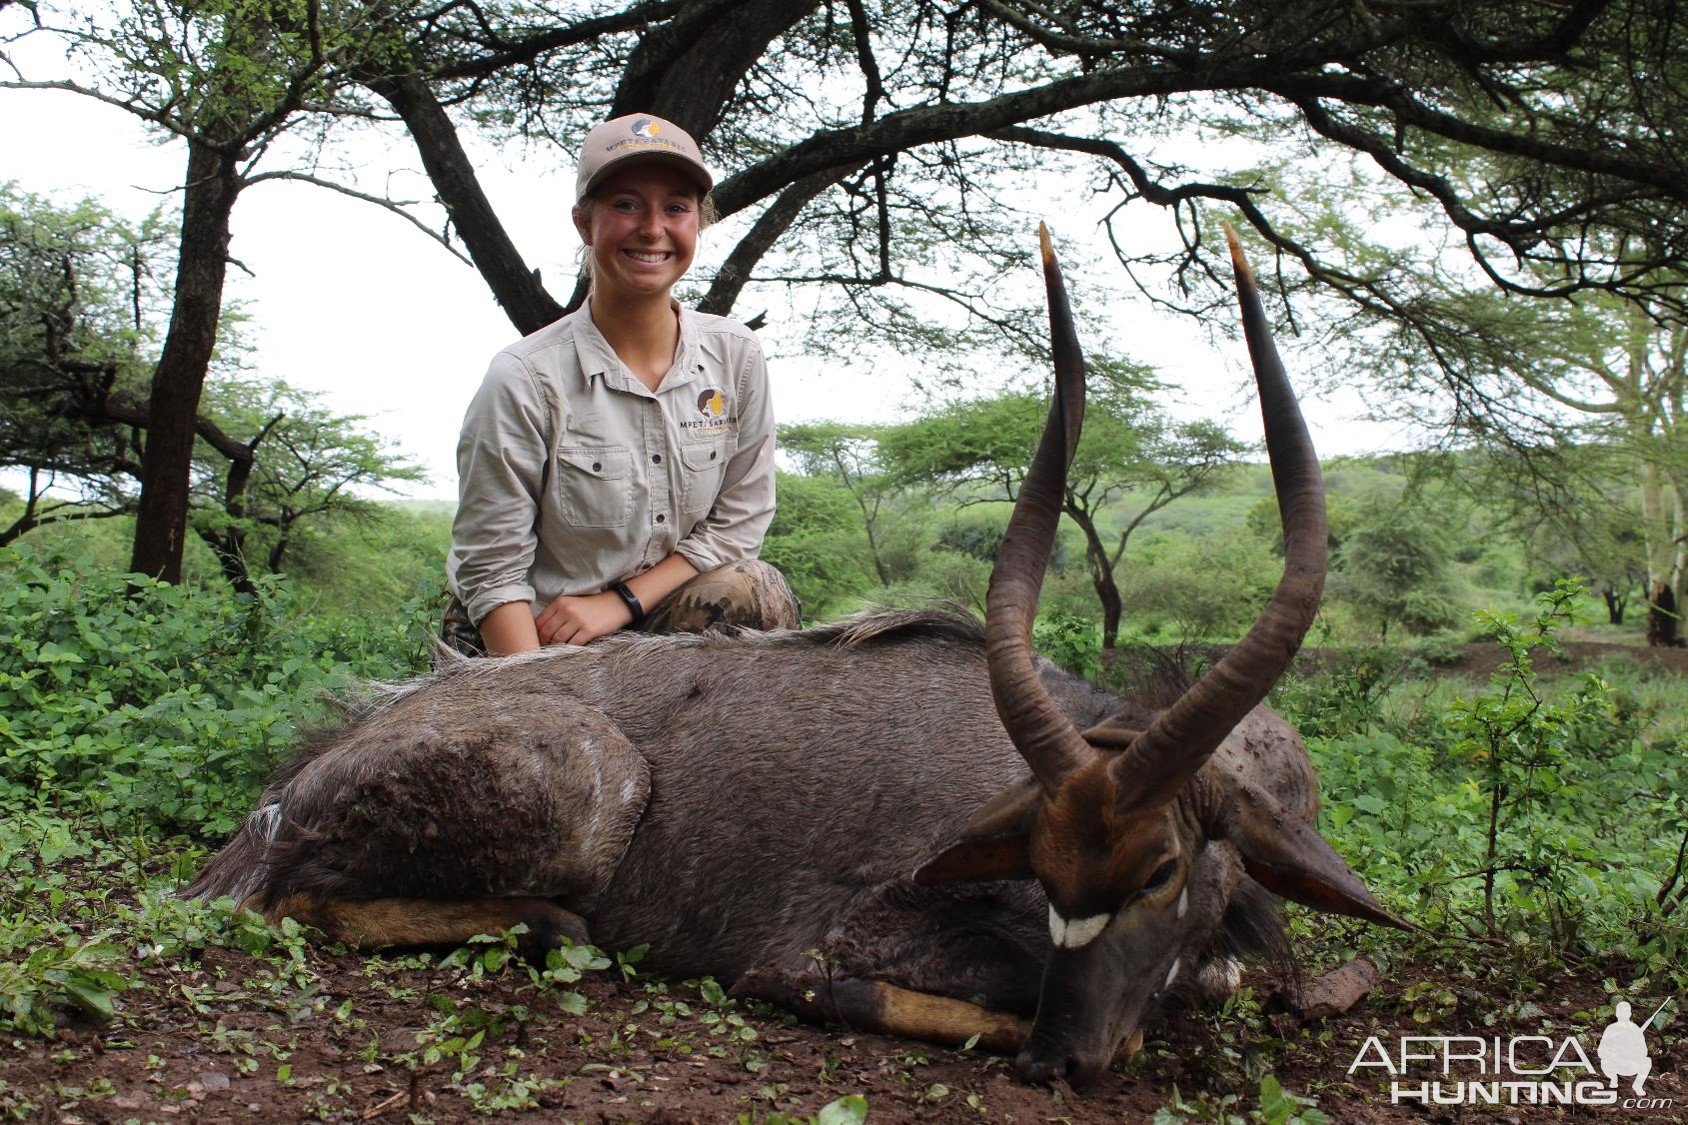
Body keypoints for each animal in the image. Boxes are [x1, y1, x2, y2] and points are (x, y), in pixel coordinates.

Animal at [181, 226, 1397, 1081]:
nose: (1060, 1059)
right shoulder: (855, 932)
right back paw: (552, 928)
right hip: (587, 788)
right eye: (1047, 868)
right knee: (293, 904)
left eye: (1158, 869)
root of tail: (286, 793)